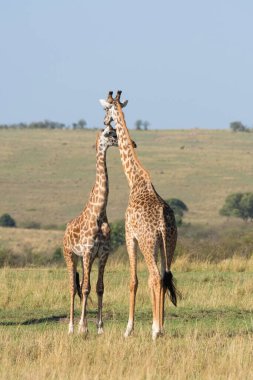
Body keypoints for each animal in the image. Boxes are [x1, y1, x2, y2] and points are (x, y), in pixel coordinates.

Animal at [63, 125, 123, 336]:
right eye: (109, 133)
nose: (131, 142)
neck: (99, 212)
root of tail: (65, 231)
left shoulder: (103, 253)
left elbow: (99, 287)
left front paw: (100, 328)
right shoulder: (89, 252)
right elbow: (86, 288)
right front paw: (83, 328)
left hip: (81, 258)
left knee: (80, 284)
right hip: (70, 255)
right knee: (73, 287)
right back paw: (71, 327)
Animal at [99, 90, 180, 340]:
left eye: (106, 110)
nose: (104, 121)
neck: (134, 180)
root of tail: (162, 222)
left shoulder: (129, 236)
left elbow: (133, 280)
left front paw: (128, 329)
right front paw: (157, 325)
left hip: (147, 242)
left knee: (154, 277)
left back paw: (155, 330)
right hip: (169, 243)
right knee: (164, 276)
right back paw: (160, 328)